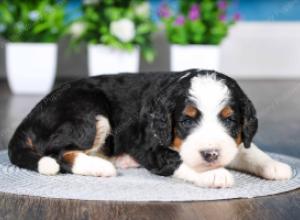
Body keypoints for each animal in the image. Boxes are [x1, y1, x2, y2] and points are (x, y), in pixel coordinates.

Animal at [7, 69, 292, 187]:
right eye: (186, 121)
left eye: (229, 120)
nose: (210, 154)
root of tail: (31, 116)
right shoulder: (153, 147)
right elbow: (179, 159)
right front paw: (213, 174)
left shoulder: (233, 140)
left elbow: (247, 149)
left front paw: (274, 165)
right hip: (90, 111)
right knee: (57, 152)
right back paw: (100, 166)